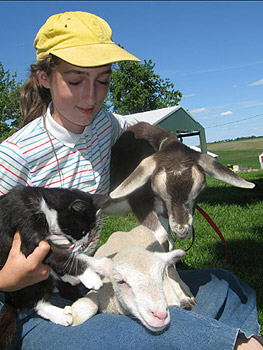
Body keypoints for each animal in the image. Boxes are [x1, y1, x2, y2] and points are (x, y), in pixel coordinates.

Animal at [0, 185, 110, 348]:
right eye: (82, 231)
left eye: (91, 230)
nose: (84, 243)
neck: (43, 204)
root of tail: (10, 299)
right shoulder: (26, 225)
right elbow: (59, 255)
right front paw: (89, 276)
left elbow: (66, 256)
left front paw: (90, 267)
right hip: (27, 283)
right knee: (38, 303)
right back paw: (60, 315)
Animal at [105, 121, 256, 250]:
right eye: (158, 191)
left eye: (201, 190)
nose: (181, 232)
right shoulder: (138, 201)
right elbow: (161, 238)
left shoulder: (162, 210)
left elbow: (169, 243)